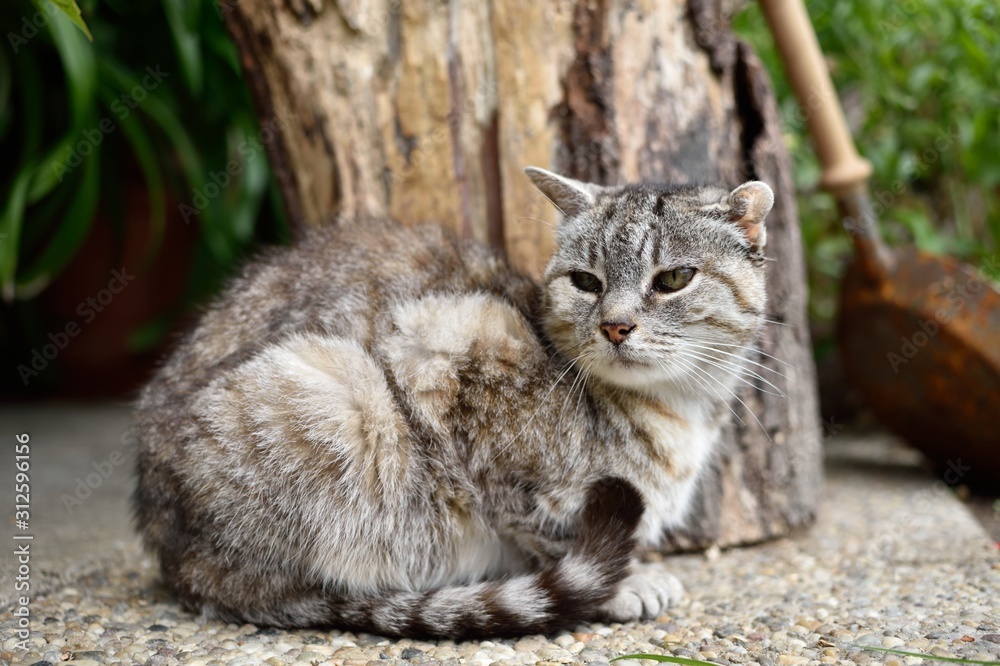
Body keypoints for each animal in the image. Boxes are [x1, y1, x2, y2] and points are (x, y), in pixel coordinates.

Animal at [131, 166, 772, 640]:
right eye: (586, 282)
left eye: (674, 279)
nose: (615, 326)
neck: (676, 412)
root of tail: (171, 551)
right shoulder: (446, 346)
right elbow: (538, 523)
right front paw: (624, 584)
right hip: (341, 393)